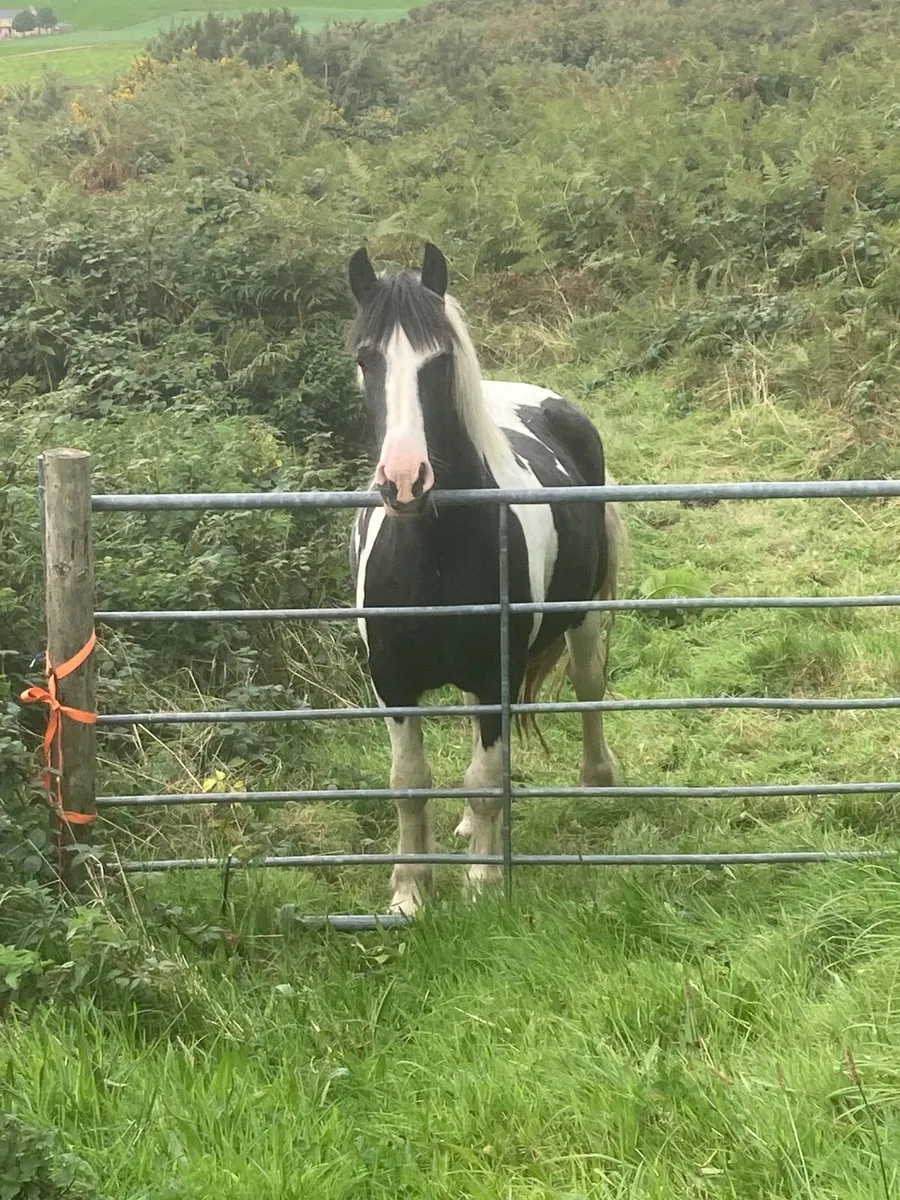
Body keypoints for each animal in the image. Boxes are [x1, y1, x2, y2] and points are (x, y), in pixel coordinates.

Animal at [348, 243, 627, 915]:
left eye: (440, 359)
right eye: (366, 359)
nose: (404, 482)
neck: (432, 558)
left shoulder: (499, 668)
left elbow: (483, 778)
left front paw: (483, 884)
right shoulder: (391, 682)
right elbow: (409, 784)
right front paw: (409, 891)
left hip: (580, 615)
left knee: (588, 684)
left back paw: (596, 780)